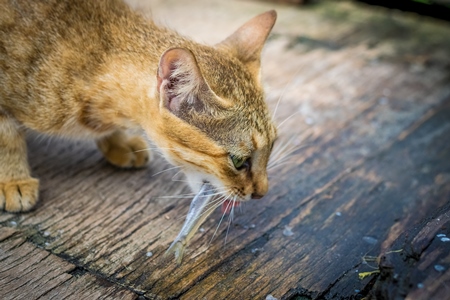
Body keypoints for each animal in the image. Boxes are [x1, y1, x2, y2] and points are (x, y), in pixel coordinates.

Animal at [0, 0, 278, 211]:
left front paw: (119, 142)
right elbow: (7, 137)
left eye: (273, 146)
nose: (263, 193)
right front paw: (13, 179)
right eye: (239, 161)